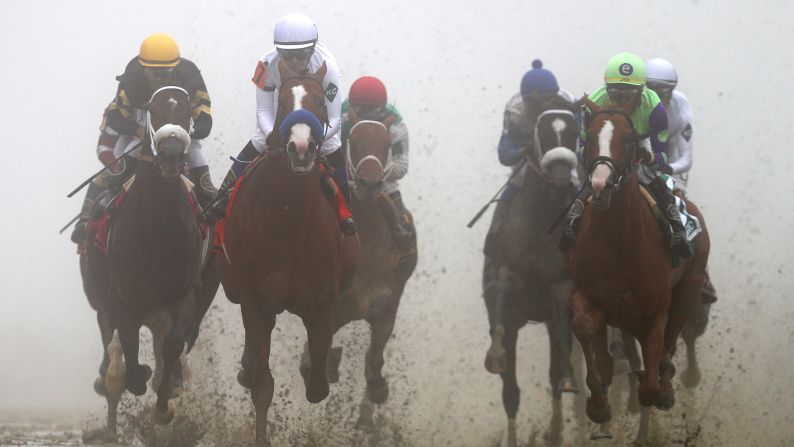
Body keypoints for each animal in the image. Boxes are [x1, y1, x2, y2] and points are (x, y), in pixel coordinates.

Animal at [215, 60, 354, 447]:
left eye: (322, 101)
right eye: (281, 104)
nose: (302, 147)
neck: (288, 224)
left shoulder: (323, 301)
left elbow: (317, 387)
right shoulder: (256, 299)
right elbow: (263, 386)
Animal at [480, 109, 580, 447]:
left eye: (573, 131)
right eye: (543, 132)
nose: (561, 175)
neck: (540, 222)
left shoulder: (562, 285)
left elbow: (562, 336)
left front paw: (568, 380)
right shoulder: (506, 272)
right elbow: (502, 298)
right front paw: (495, 353)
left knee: (553, 370)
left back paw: (556, 429)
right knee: (510, 392)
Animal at [572, 94, 708, 440]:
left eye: (627, 140)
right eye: (589, 137)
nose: (601, 185)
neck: (619, 240)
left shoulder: (654, 311)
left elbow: (648, 383)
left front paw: (657, 391)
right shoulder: (588, 294)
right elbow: (586, 328)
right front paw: (598, 402)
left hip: (689, 287)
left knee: (670, 342)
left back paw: (666, 385)